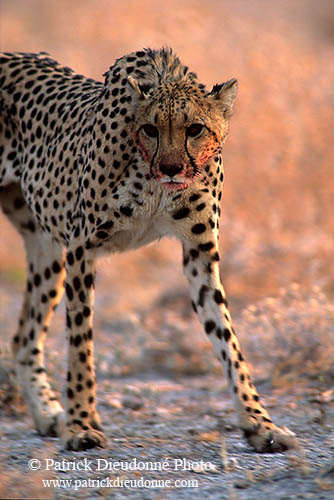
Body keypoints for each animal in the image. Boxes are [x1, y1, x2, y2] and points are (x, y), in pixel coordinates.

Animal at [0, 48, 298, 452]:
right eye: (151, 129)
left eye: (195, 129)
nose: (172, 167)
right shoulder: (82, 247)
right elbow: (81, 342)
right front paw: (82, 425)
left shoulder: (200, 252)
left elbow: (228, 340)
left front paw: (260, 424)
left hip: (46, 250)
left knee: (23, 339)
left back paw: (47, 413)